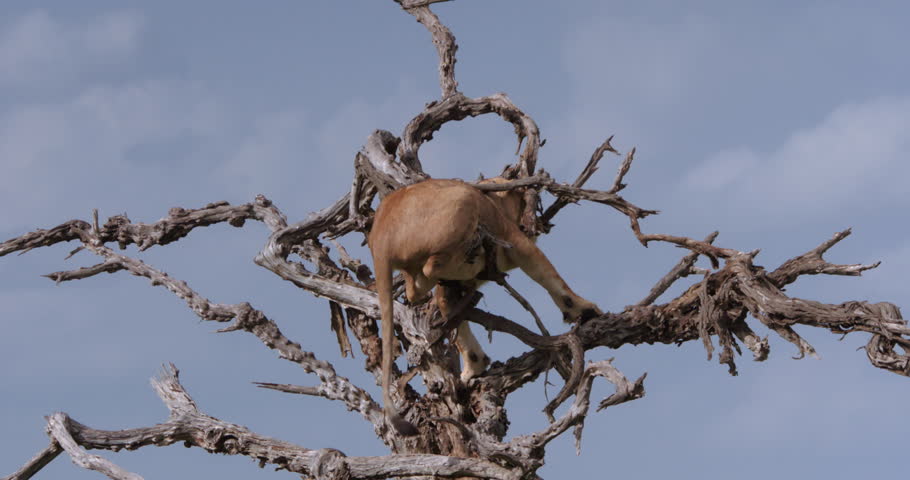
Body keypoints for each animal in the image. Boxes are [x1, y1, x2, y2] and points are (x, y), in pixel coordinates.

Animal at [369, 177, 601, 435]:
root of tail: (381, 239)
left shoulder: (448, 289)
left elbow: (452, 316)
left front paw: (474, 365)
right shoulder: (515, 241)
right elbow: (549, 276)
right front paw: (584, 310)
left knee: (416, 287)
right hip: (464, 199)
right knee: (431, 268)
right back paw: (473, 255)